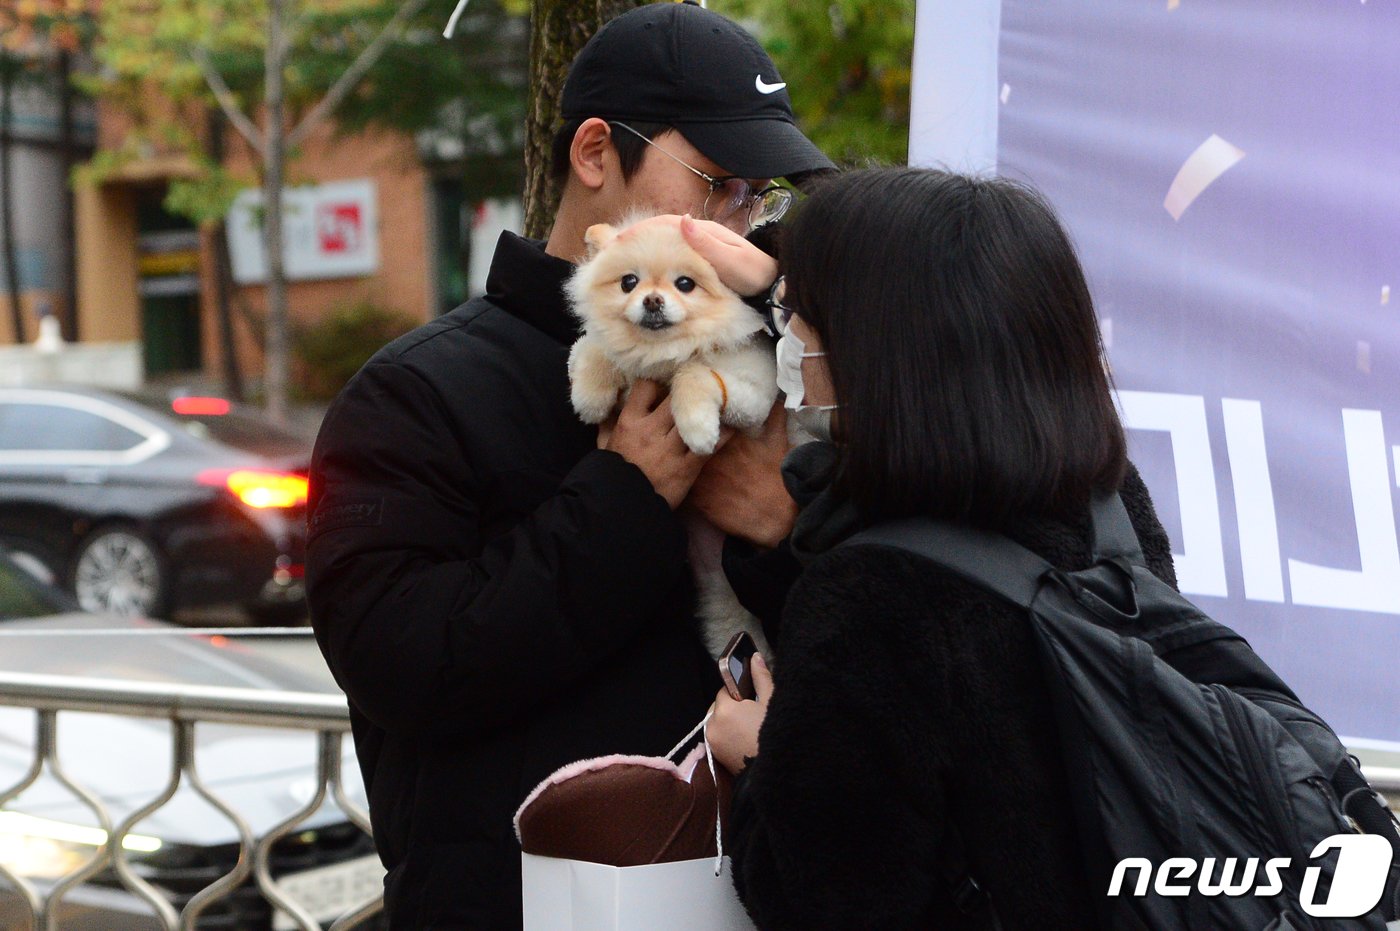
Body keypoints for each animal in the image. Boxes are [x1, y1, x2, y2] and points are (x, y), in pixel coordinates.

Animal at [560, 215, 778, 658]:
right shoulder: (607, 355)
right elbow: (592, 348)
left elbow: (694, 373)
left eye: (685, 284)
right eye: (629, 282)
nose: (652, 301)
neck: (662, 355)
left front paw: (697, 428)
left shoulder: (753, 398)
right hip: (720, 602)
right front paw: (590, 395)